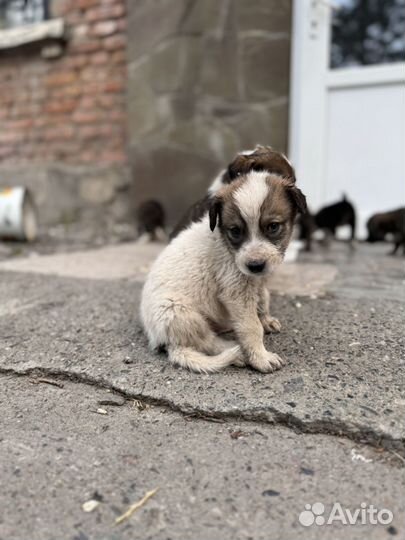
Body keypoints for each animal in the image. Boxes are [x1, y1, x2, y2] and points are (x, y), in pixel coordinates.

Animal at [140, 171, 304, 374]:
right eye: (235, 231)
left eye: (273, 226)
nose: (255, 265)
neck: (225, 243)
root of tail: (165, 342)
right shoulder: (236, 291)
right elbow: (251, 327)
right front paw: (260, 357)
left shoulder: (256, 281)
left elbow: (263, 298)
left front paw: (265, 319)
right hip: (177, 311)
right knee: (206, 341)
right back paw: (235, 351)